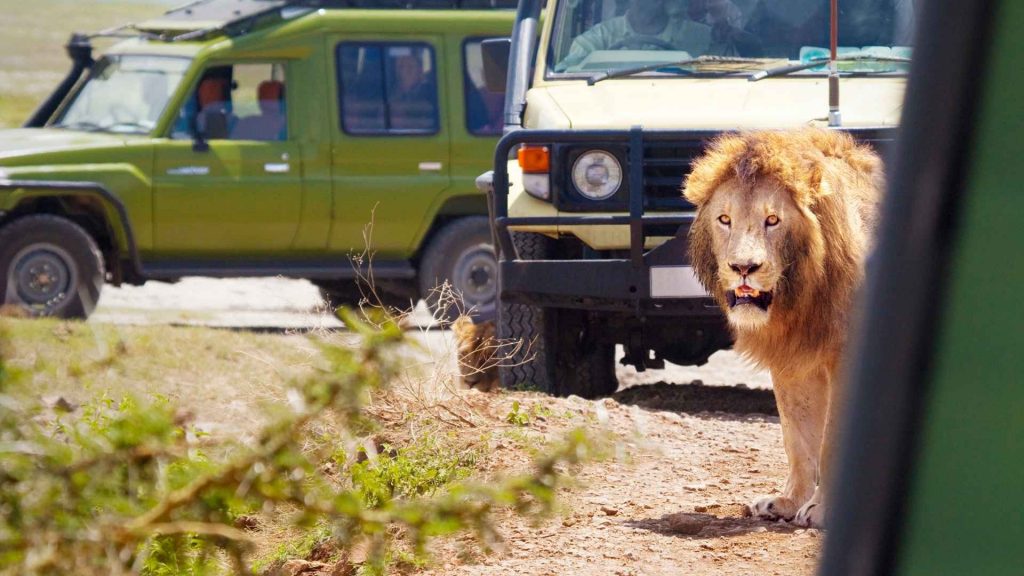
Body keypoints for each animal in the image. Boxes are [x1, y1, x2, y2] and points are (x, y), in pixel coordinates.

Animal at [679, 127, 880, 528]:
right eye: (724, 219)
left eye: (772, 220)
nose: (743, 267)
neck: (801, 296)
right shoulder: (792, 358)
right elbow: (797, 437)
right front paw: (787, 502)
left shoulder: (846, 354)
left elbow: (831, 440)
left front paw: (821, 510)